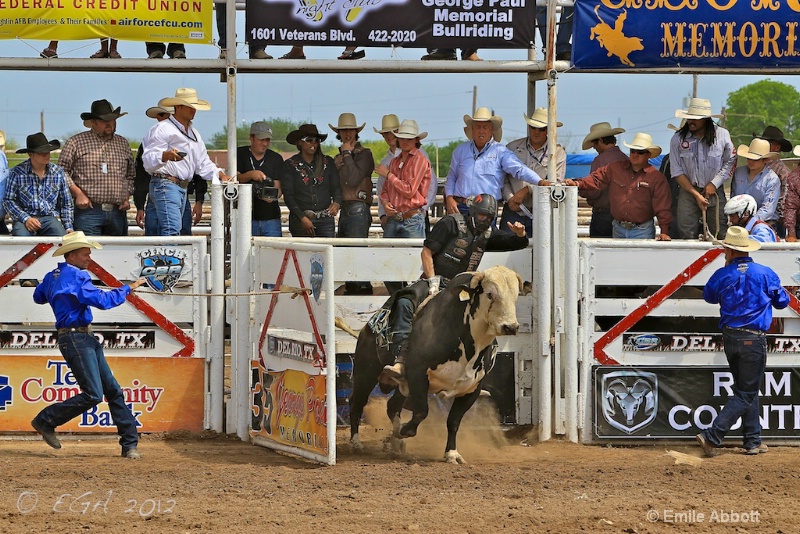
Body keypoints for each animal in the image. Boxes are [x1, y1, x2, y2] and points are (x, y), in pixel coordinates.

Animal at [346, 266, 520, 464]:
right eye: (490, 294)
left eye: (515, 295)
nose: (510, 327)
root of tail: (368, 326)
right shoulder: (418, 374)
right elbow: (422, 411)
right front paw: (405, 430)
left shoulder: (472, 389)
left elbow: (453, 421)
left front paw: (452, 454)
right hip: (365, 373)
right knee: (357, 402)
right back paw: (356, 444)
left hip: (401, 386)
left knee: (392, 406)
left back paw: (396, 444)